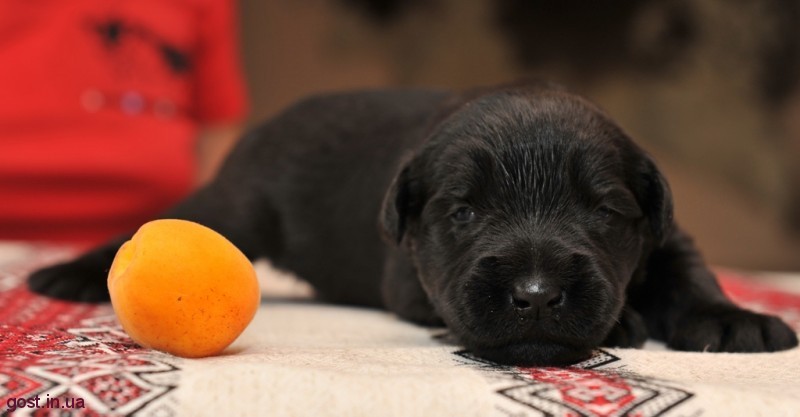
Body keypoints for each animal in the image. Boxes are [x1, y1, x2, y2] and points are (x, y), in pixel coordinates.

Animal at [28, 81, 798, 365]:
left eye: (604, 212)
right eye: (463, 212)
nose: (537, 294)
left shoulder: (665, 234)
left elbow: (688, 271)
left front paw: (732, 318)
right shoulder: (410, 274)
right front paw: (627, 322)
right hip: (237, 208)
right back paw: (73, 272)